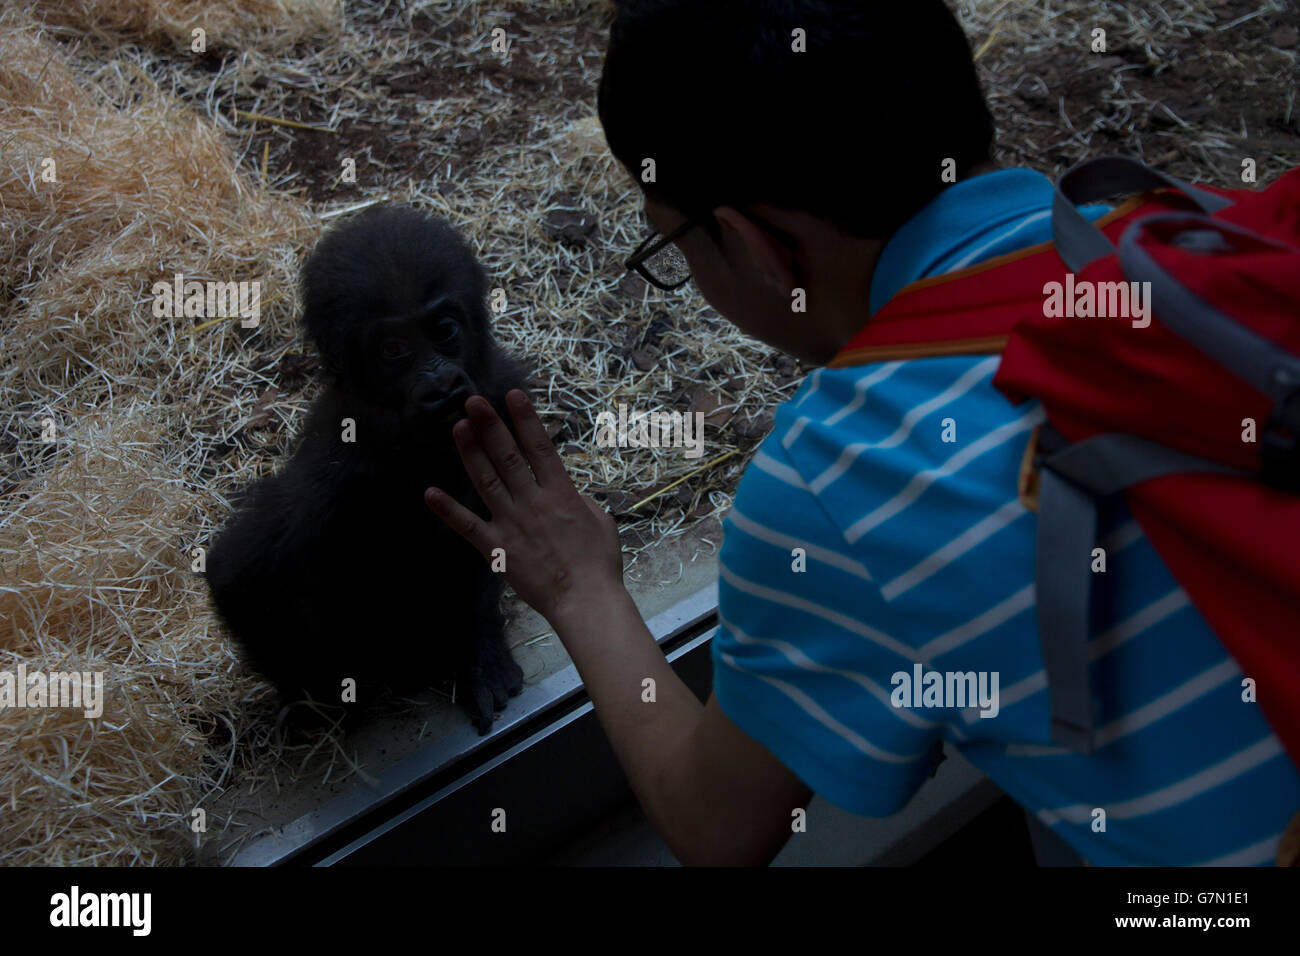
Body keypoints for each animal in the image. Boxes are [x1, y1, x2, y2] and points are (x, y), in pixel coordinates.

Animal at [205, 208, 525, 733]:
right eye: (393, 350)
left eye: (444, 329)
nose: (441, 384)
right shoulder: (337, 467)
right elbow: (241, 573)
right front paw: (321, 705)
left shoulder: (500, 393)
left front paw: (480, 652)